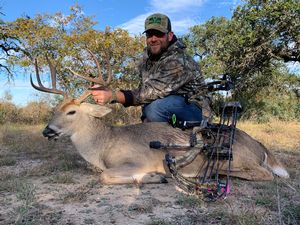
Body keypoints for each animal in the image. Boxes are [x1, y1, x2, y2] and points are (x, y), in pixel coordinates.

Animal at [29, 53, 288, 185]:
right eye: (55, 109)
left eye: (72, 112)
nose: (47, 131)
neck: (104, 146)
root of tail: (260, 146)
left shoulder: (135, 160)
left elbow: (105, 176)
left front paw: (154, 176)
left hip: (237, 159)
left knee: (264, 174)